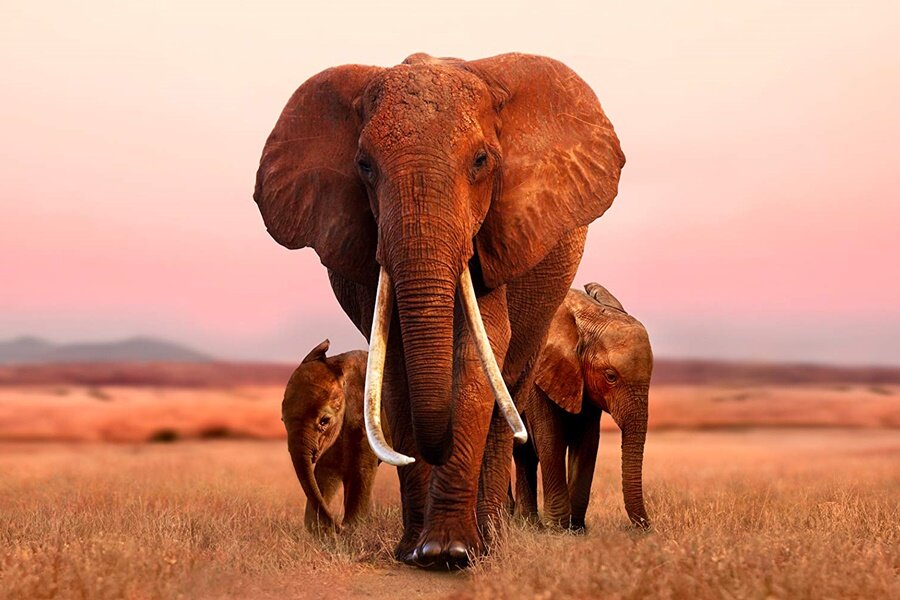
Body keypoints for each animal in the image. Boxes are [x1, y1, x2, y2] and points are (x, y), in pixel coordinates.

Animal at [281, 340, 379, 533]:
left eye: (324, 421)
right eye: (283, 420)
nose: (339, 525)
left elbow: (362, 469)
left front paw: (353, 528)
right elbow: (325, 471)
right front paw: (320, 530)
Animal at [514, 283, 652, 531]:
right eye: (610, 376)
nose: (647, 527)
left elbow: (587, 441)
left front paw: (576, 529)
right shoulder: (538, 374)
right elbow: (550, 438)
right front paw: (557, 529)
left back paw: (526, 524)